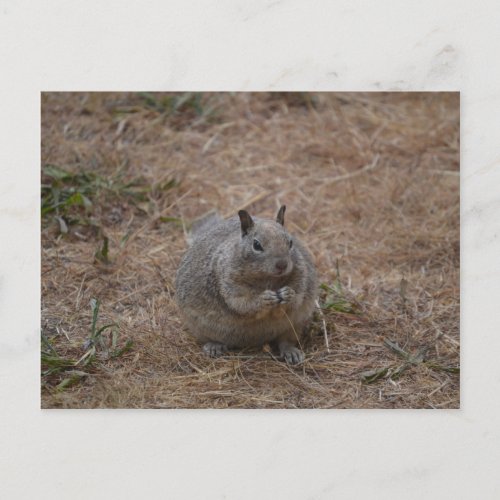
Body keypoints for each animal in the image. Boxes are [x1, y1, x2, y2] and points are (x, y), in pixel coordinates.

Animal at [175, 205, 316, 366]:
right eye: (256, 245)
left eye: (291, 242)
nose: (282, 264)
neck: (268, 279)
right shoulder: (230, 283)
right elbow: (242, 303)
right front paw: (263, 299)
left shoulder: (301, 275)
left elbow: (297, 296)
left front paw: (289, 295)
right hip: (199, 327)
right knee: (208, 339)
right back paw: (214, 346)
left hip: (295, 326)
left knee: (285, 341)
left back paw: (291, 351)